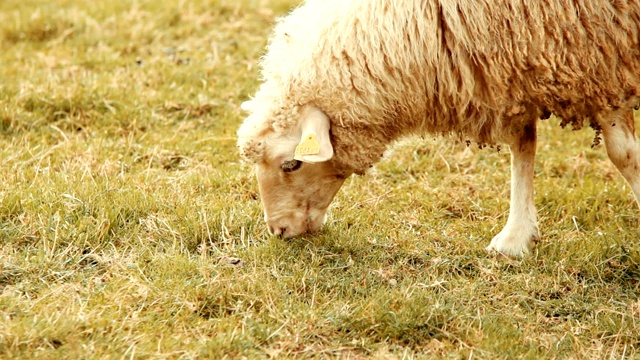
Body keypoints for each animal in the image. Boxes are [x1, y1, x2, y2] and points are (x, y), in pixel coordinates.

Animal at [239, 0, 640, 258]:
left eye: (291, 164)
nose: (279, 231)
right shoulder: (513, 65)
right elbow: (522, 144)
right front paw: (516, 238)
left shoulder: (605, 58)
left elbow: (623, 154)